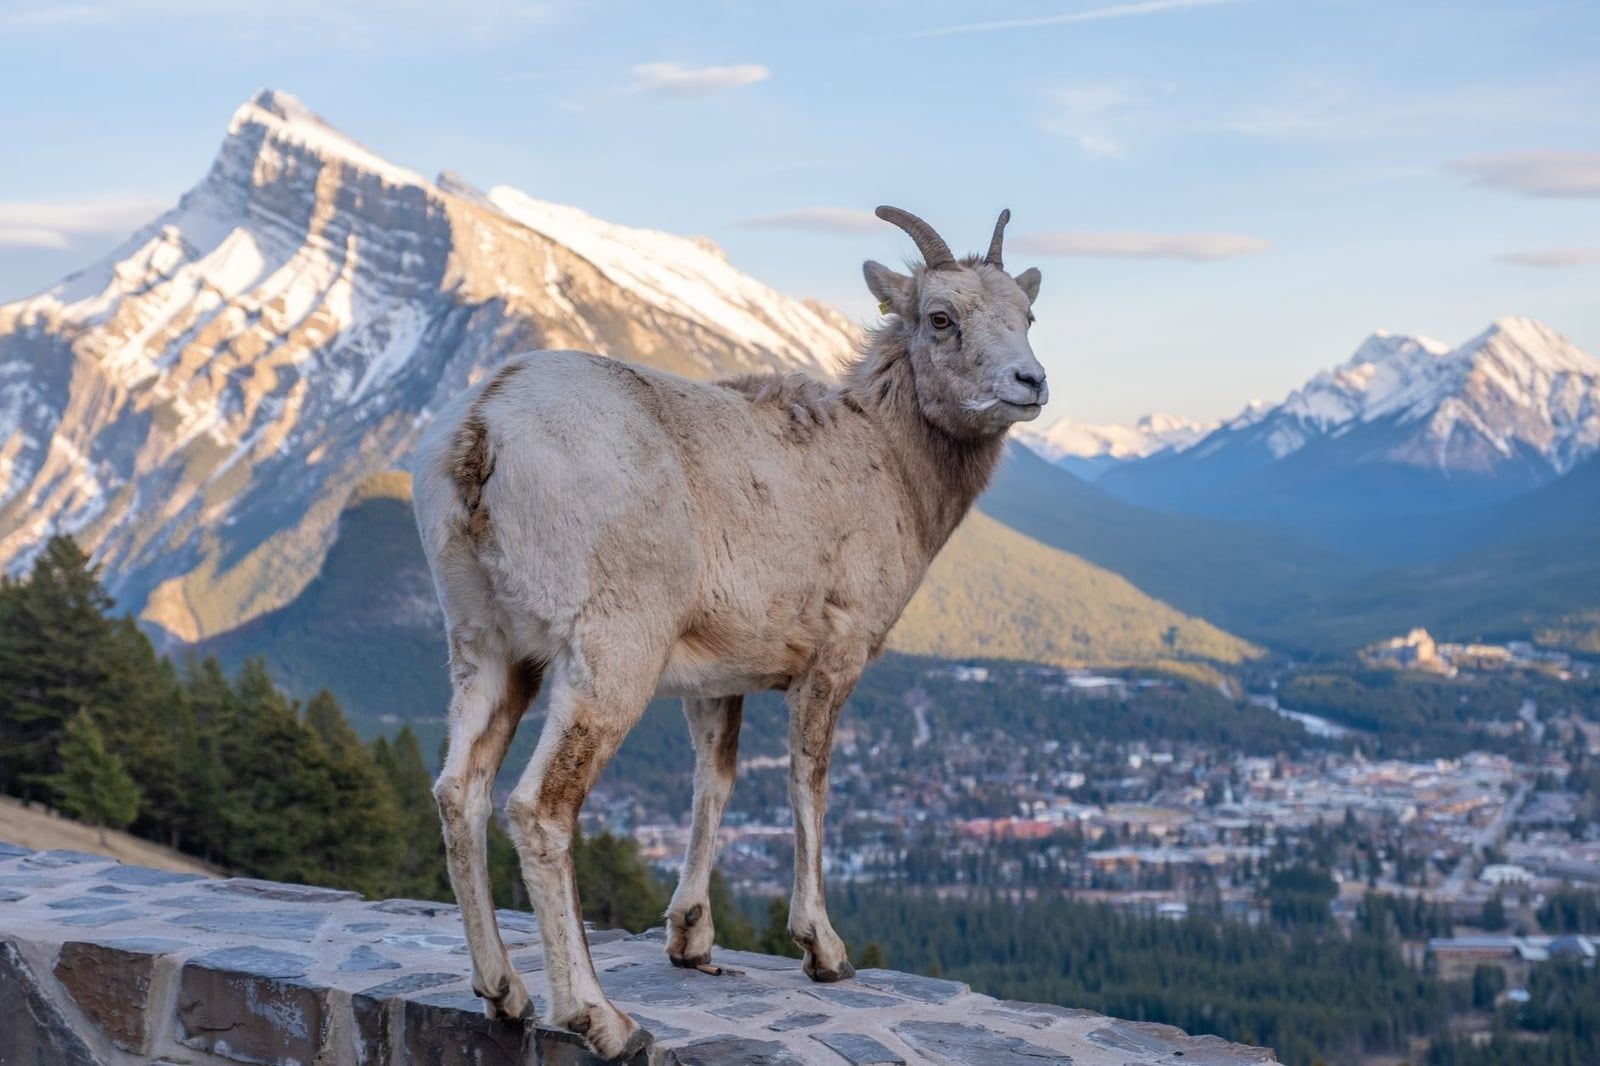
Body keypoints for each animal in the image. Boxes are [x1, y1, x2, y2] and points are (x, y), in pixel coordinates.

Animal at [410, 206, 1047, 1059]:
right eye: (941, 318)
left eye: (1027, 315)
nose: (1030, 383)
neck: (886, 465)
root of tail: (481, 431)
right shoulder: (832, 660)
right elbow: (807, 781)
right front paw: (824, 952)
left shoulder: (716, 679)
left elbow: (714, 782)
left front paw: (691, 940)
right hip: (609, 659)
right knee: (538, 808)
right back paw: (601, 1019)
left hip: (489, 648)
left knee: (460, 791)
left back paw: (504, 994)